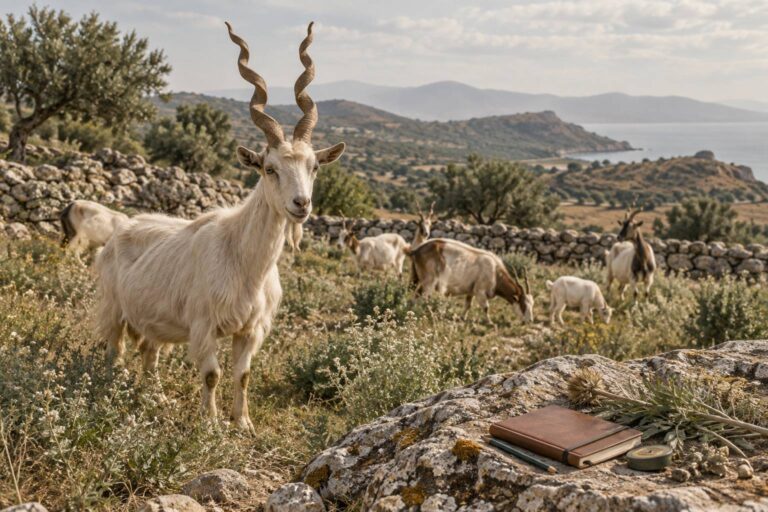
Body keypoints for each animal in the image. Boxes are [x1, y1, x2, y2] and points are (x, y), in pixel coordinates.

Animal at [94, 22, 345, 433]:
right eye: (269, 168)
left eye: (314, 167)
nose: (301, 205)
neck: (244, 262)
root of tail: (119, 231)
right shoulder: (204, 325)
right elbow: (212, 374)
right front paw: (210, 424)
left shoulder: (251, 331)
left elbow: (242, 375)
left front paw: (243, 423)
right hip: (113, 308)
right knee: (114, 349)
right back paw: (113, 388)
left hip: (154, 320)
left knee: (149, 350)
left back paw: (154, 397)